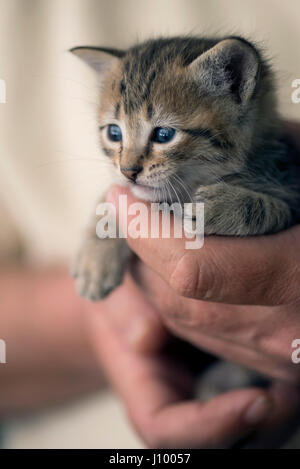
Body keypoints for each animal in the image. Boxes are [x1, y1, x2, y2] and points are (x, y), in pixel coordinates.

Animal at [71, 36, 300, 300]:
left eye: (164, 134)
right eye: (114, 133)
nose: (128, 171)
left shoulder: (291, 187)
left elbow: (272, 209)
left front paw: (222, 206)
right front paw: (96, 253)